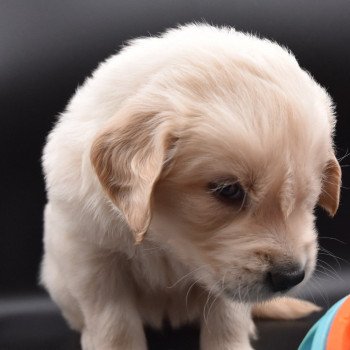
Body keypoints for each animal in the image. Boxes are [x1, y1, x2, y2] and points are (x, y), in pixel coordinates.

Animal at [40, 23, 340, 348]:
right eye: (228, 190)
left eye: (309, 196)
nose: (291, 277)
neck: (163, 237)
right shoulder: (91, 255)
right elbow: (113, 318)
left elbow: (228, 314)